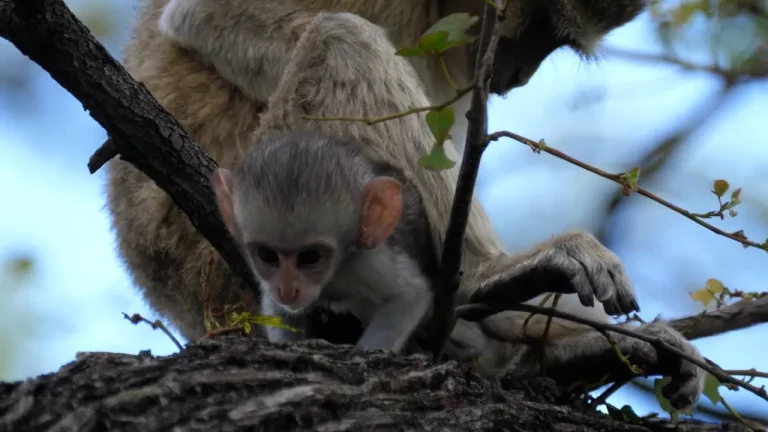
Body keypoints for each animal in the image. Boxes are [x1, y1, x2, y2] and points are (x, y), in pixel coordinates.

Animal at [212, 130, 437, 353]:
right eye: (267, 255)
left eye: (310, 257)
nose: (286, 290)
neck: (334, 274)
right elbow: (278, 307)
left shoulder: (371, 261)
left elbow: (411, 296)